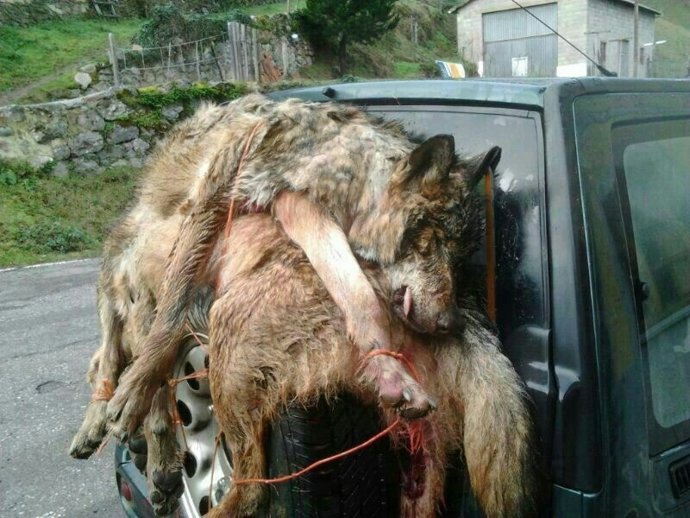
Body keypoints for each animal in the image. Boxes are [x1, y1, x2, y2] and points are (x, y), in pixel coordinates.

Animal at [204, 144, 539, 516]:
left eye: (458, 257)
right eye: (435, 246)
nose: (451, 324)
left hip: (227, 340)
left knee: (253, 487)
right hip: (422, 459)